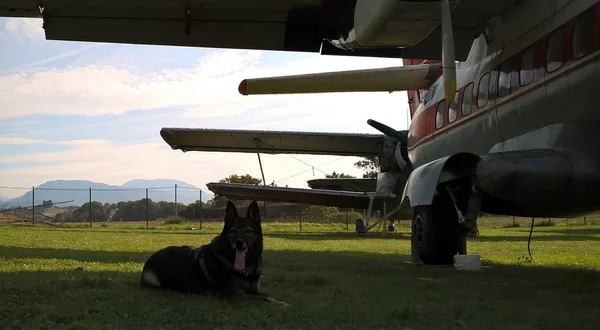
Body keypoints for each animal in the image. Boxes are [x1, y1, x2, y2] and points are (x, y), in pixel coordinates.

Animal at [141, 199, 290, 306]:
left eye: (249, 231)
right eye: (233, 230)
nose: (239, 243)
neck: (246, 267)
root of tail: (152, 256)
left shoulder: (254, 290)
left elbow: (267, 296)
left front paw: (283, 302)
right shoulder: (235, 295)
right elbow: (258, 299)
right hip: (152, 280)